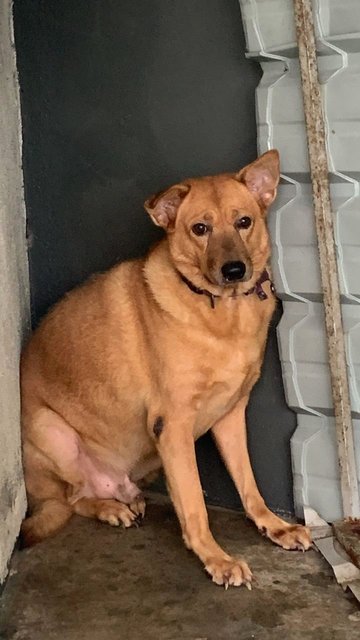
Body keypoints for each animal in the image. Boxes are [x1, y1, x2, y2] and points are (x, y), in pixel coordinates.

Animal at [21, 149, 310, 584]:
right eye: (200, 229)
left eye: (244, 222)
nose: (235, 271)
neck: (222, 313)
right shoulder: (171, 426)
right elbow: (194, 504)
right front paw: (216, 558)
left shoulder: (230, 417)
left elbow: (249, 484)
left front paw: (273, 526)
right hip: (51, 431)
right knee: (71, 499)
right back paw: (109, 508)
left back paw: (124, 501)